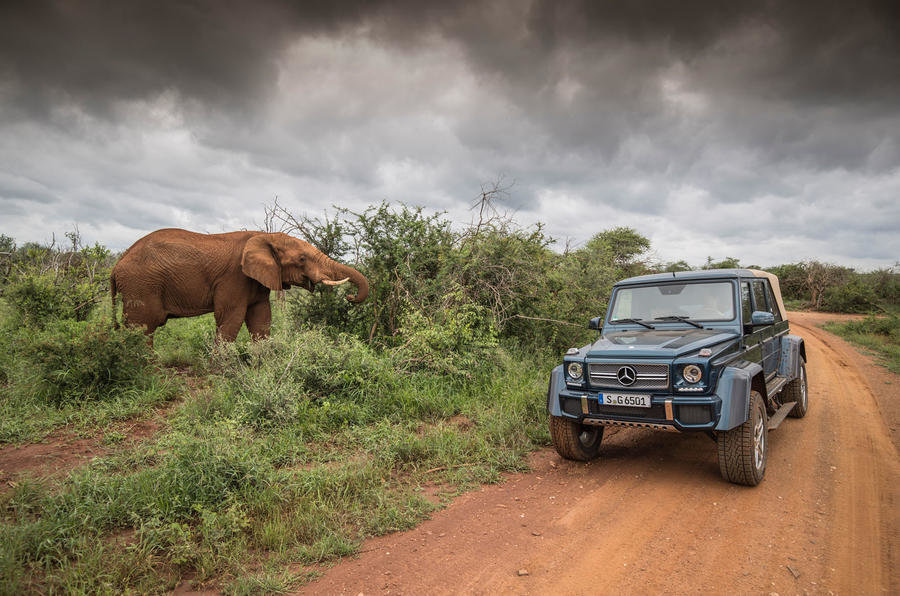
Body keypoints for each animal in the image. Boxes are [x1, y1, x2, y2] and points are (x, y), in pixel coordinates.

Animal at [110, 228, 370, 340]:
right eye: (302, 259)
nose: (350, 297)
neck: (266, 236)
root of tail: (117, 265)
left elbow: (261, 318)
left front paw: (263, 366)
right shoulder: (233, 277)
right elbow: (231, 319)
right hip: (141, 284)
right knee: (144, 326)